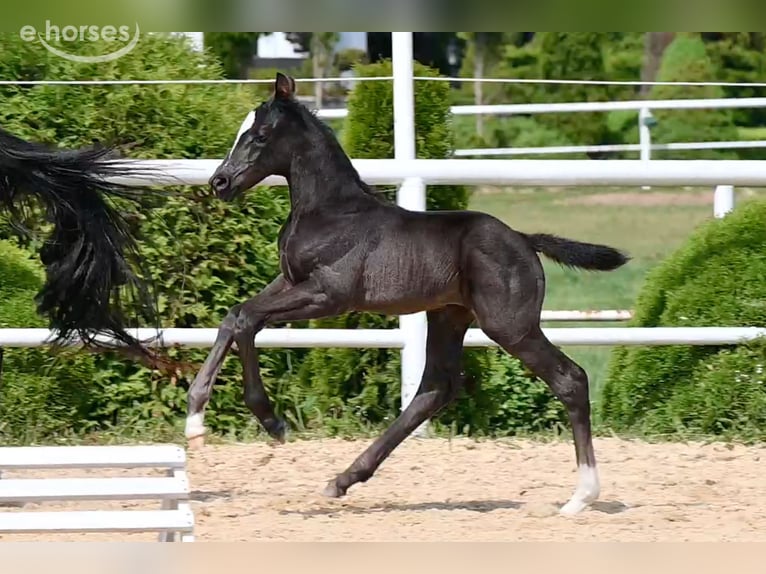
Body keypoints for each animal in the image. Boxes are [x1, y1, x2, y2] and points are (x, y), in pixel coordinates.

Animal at [186, 72, 630, 516]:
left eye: (260, 135)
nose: (219, 182)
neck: (330, 211)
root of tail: (524, 239)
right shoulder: (290, 282)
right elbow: (235, 315)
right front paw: (194, 418)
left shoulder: (327, 294)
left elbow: (248, 319)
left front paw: (271, 421)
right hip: (450, 316)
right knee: (434, 389)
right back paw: (343, 479)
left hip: (510, 326)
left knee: (570, 379)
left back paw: (581, 496)